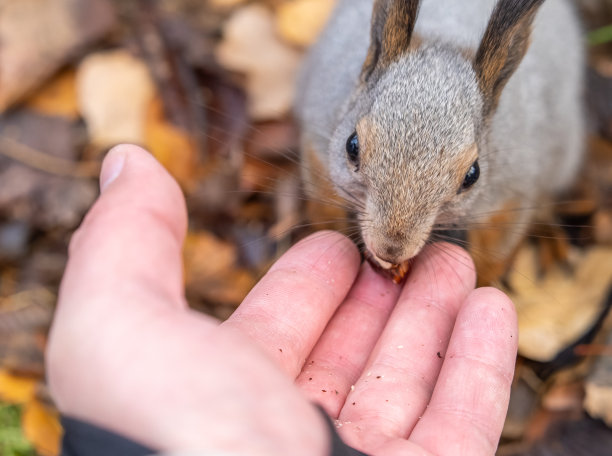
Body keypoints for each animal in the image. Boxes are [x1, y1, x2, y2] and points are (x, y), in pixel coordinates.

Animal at [296, 0, 584, 284]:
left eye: (472, 175)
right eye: (352, 146)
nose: (391, 250)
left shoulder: (511, 194)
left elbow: (494, 251)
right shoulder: (318, 147)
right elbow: (325, 207)